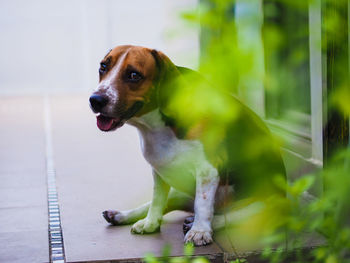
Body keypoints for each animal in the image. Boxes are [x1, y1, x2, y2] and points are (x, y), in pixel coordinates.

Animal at [89, 44, 286, 248]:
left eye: (134, 75)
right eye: (103, 67)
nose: (95, 99)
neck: (155, 126)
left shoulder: (207, 170)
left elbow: (203, 204)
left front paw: (199, 231)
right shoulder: (159, 170)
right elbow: (157, 199)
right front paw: (151, 223)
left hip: (267, 204)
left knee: (228, 216)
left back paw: (199, 222)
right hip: (179, 190)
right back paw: (121, 215)